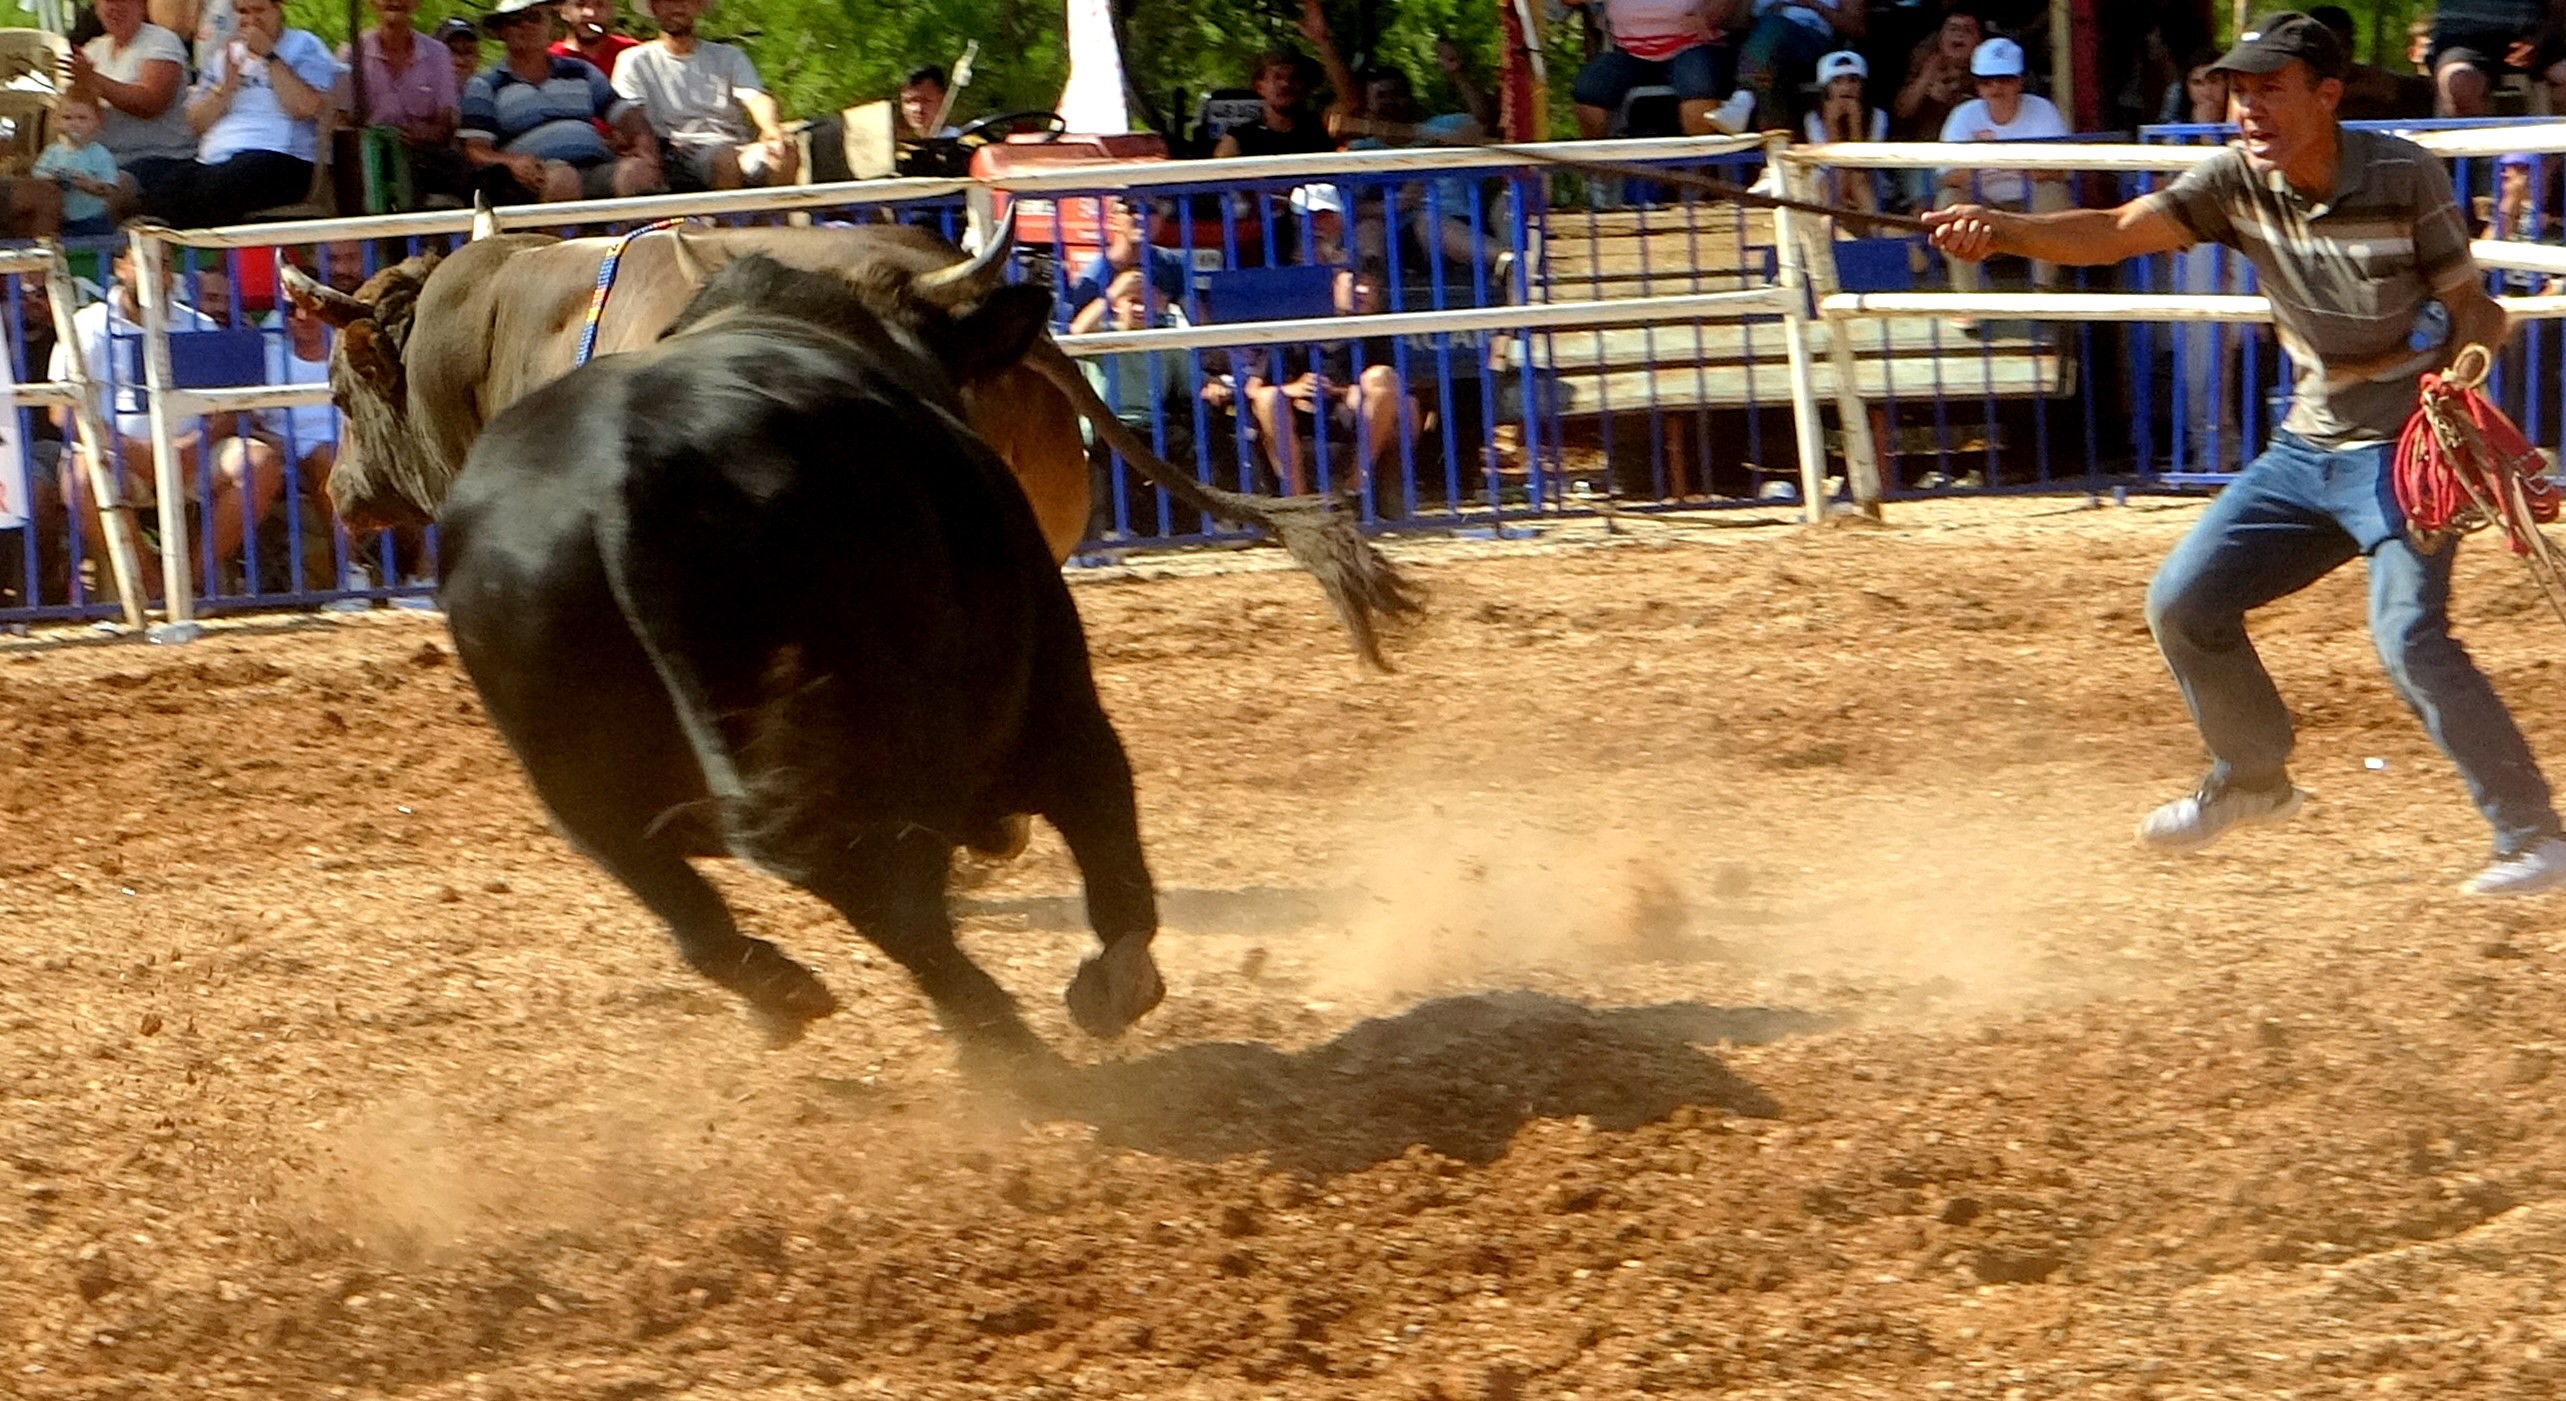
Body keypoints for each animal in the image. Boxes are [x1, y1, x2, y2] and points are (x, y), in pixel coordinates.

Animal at [449, 256, 1164, 1052]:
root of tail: (620, 485)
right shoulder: (1056, 699)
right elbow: (1111, 847)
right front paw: (1116, 982)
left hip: (581, 784)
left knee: (689, 900)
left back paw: (793, 994)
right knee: (901, 899)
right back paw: (1009, 1038)